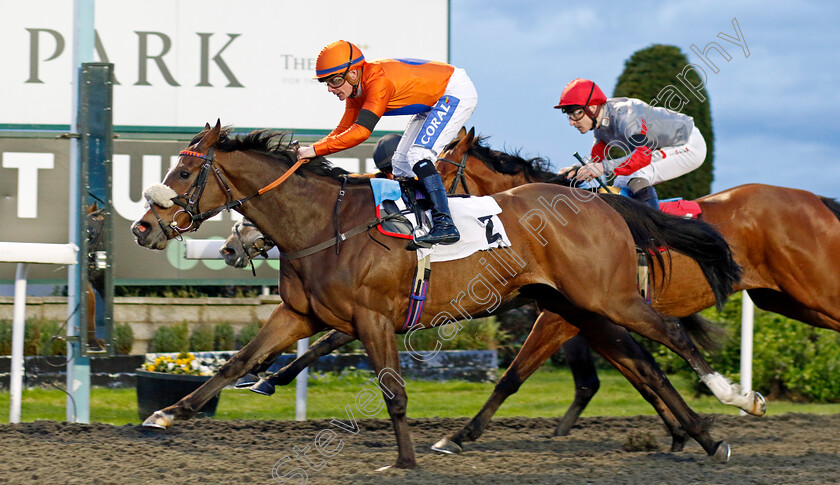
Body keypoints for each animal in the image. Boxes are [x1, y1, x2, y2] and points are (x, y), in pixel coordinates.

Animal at [133, 121, 748, 466]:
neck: (321, 225)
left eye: (183, 175)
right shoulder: (298, 315)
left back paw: (737, 398)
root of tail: (598, 202)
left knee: (670, 337)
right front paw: (167, 413)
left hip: (607, 299)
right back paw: (705, 438)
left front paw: (405, 461)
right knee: (644, 366)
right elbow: (236, 363)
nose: (143, 228)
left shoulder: (373, 318)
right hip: (577, 307)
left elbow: (394, 393)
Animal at [430, 127, 840, 446]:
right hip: (787, 300)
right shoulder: (592, 317)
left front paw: (458, 436)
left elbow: (513, 376)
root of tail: (816, 199)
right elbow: (641, 375)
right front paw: (680, 433)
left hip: (813, 289)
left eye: (439, 173)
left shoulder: (561, 318)